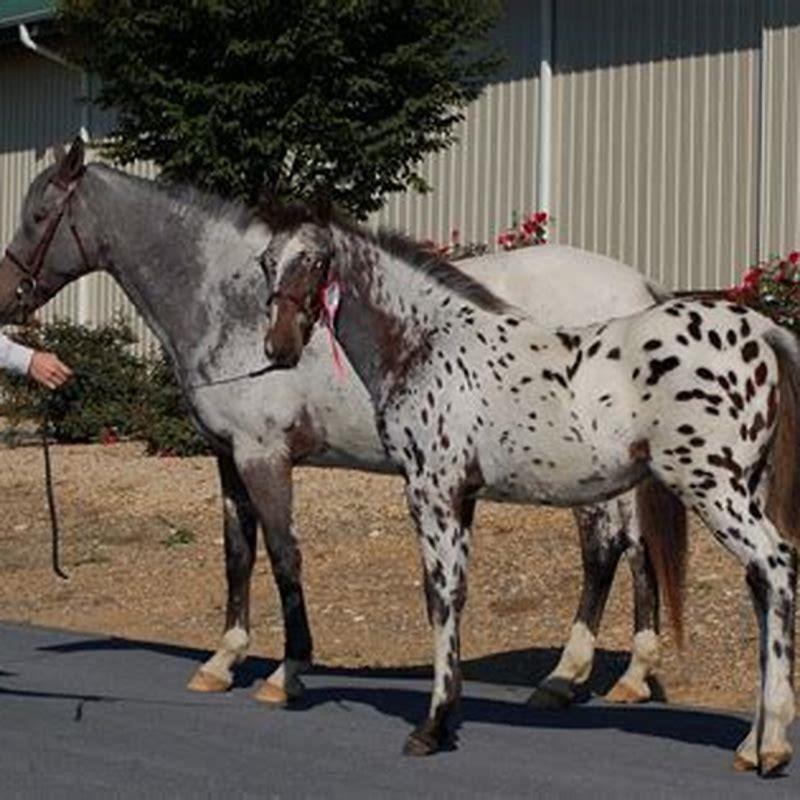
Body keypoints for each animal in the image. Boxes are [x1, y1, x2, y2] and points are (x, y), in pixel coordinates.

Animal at [0, 139, 679, 712]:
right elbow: (237, 554)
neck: (234, 302)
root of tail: (637, 293)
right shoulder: (228, 456)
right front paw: (222, 660)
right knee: (636, 548)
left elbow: (283, 555)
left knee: (603, 550)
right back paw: (630, 676)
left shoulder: (264, 456)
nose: (7, 298)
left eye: (38, 215)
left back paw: (565, 676)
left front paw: (288, 672)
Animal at [259, 208, 799, 775]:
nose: (279, 347)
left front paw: (431, 727)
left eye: (314, 260)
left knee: (775, 564)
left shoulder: (433, 490)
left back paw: (772, 746)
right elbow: (455, 594)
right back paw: (751, 745)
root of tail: (762, 331)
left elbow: (439, 596)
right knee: (760, 584)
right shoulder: (462, 496)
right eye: (267, 261)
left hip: (712, 487)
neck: (429, 343)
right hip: (743, 486)